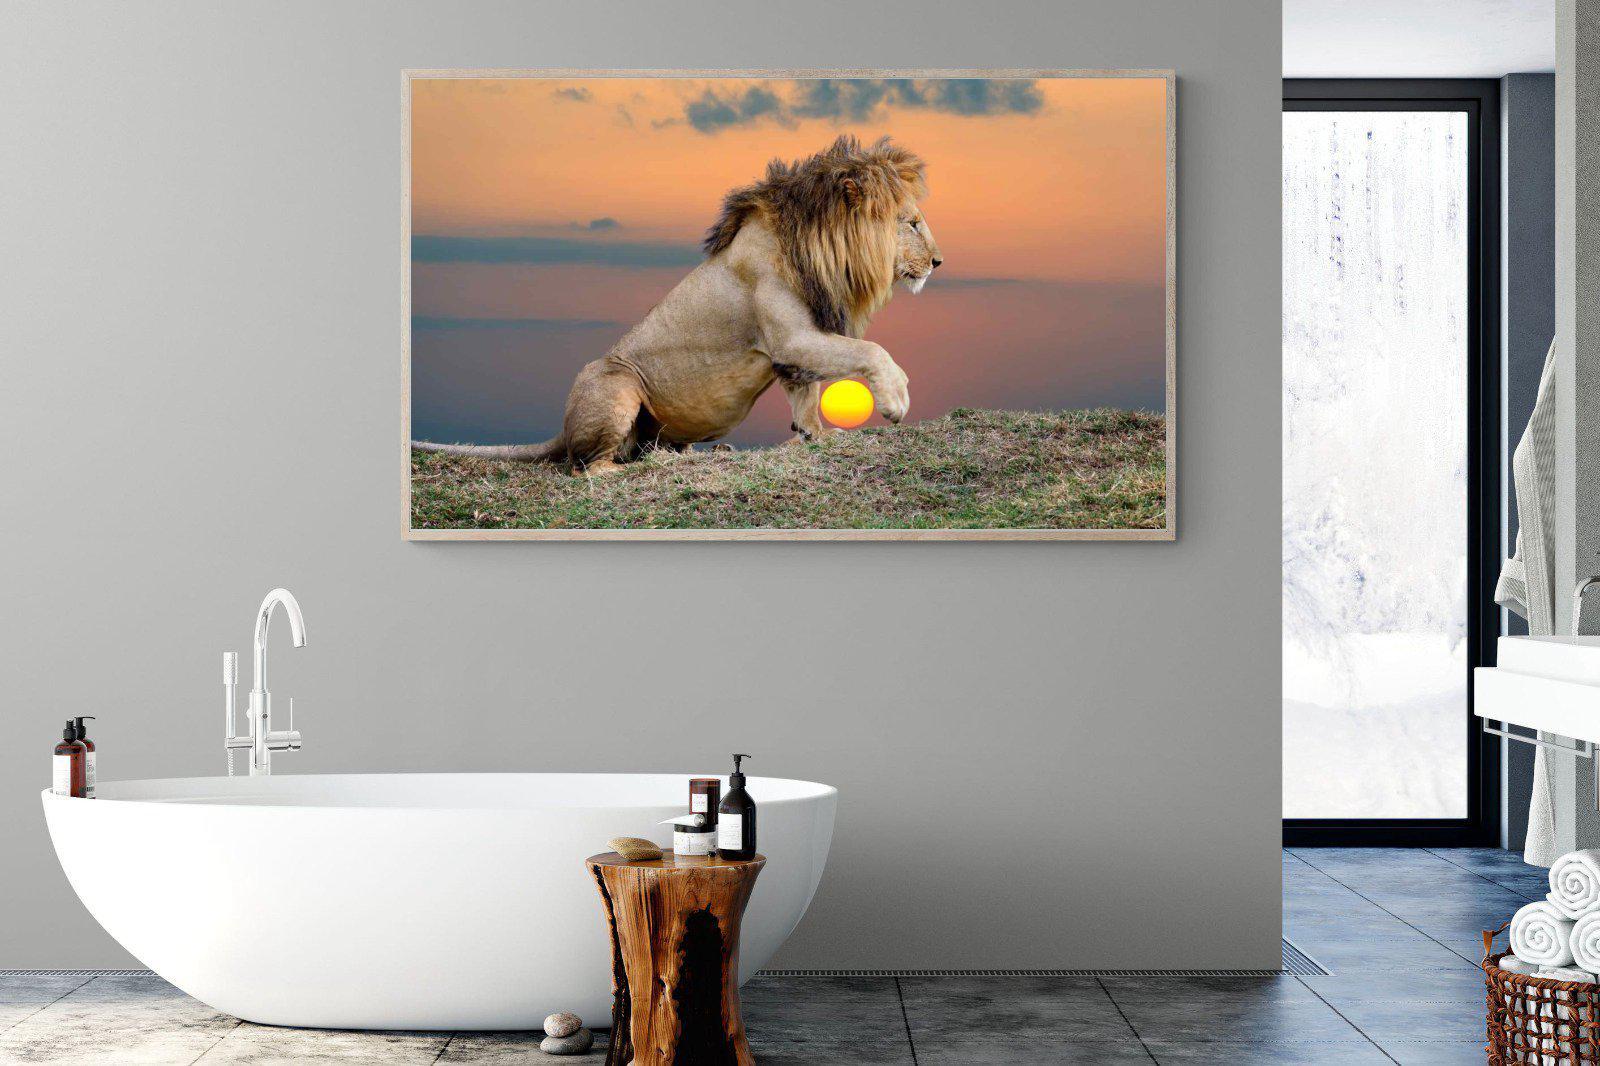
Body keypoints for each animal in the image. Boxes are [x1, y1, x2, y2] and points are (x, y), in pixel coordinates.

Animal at [411, 135, 941, 474]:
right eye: (912, 222)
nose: (938, 261)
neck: (820, 249)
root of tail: (562, 428)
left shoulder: (795, 347)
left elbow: (806, 395)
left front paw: (817, 437)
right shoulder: (792, 336)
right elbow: (870, 351)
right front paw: (895, 400)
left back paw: (689, 454)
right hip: (616, 381)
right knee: (588, 467)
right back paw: (642, 466)